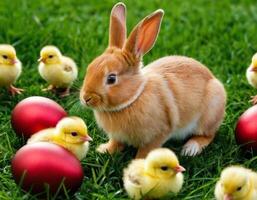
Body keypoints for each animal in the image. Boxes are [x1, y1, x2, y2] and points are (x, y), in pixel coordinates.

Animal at [79, 1, 224, 158]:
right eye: (89, 68)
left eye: (111, 79)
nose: (86, 98)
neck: (132, 99)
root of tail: (213, 79)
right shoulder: (117, 136)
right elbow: (115, 143)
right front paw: (104, 149)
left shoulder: (158, 134)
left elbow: (146, 151)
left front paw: (138, 163)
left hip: (209, 115)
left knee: (208, 135)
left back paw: (191, 148)